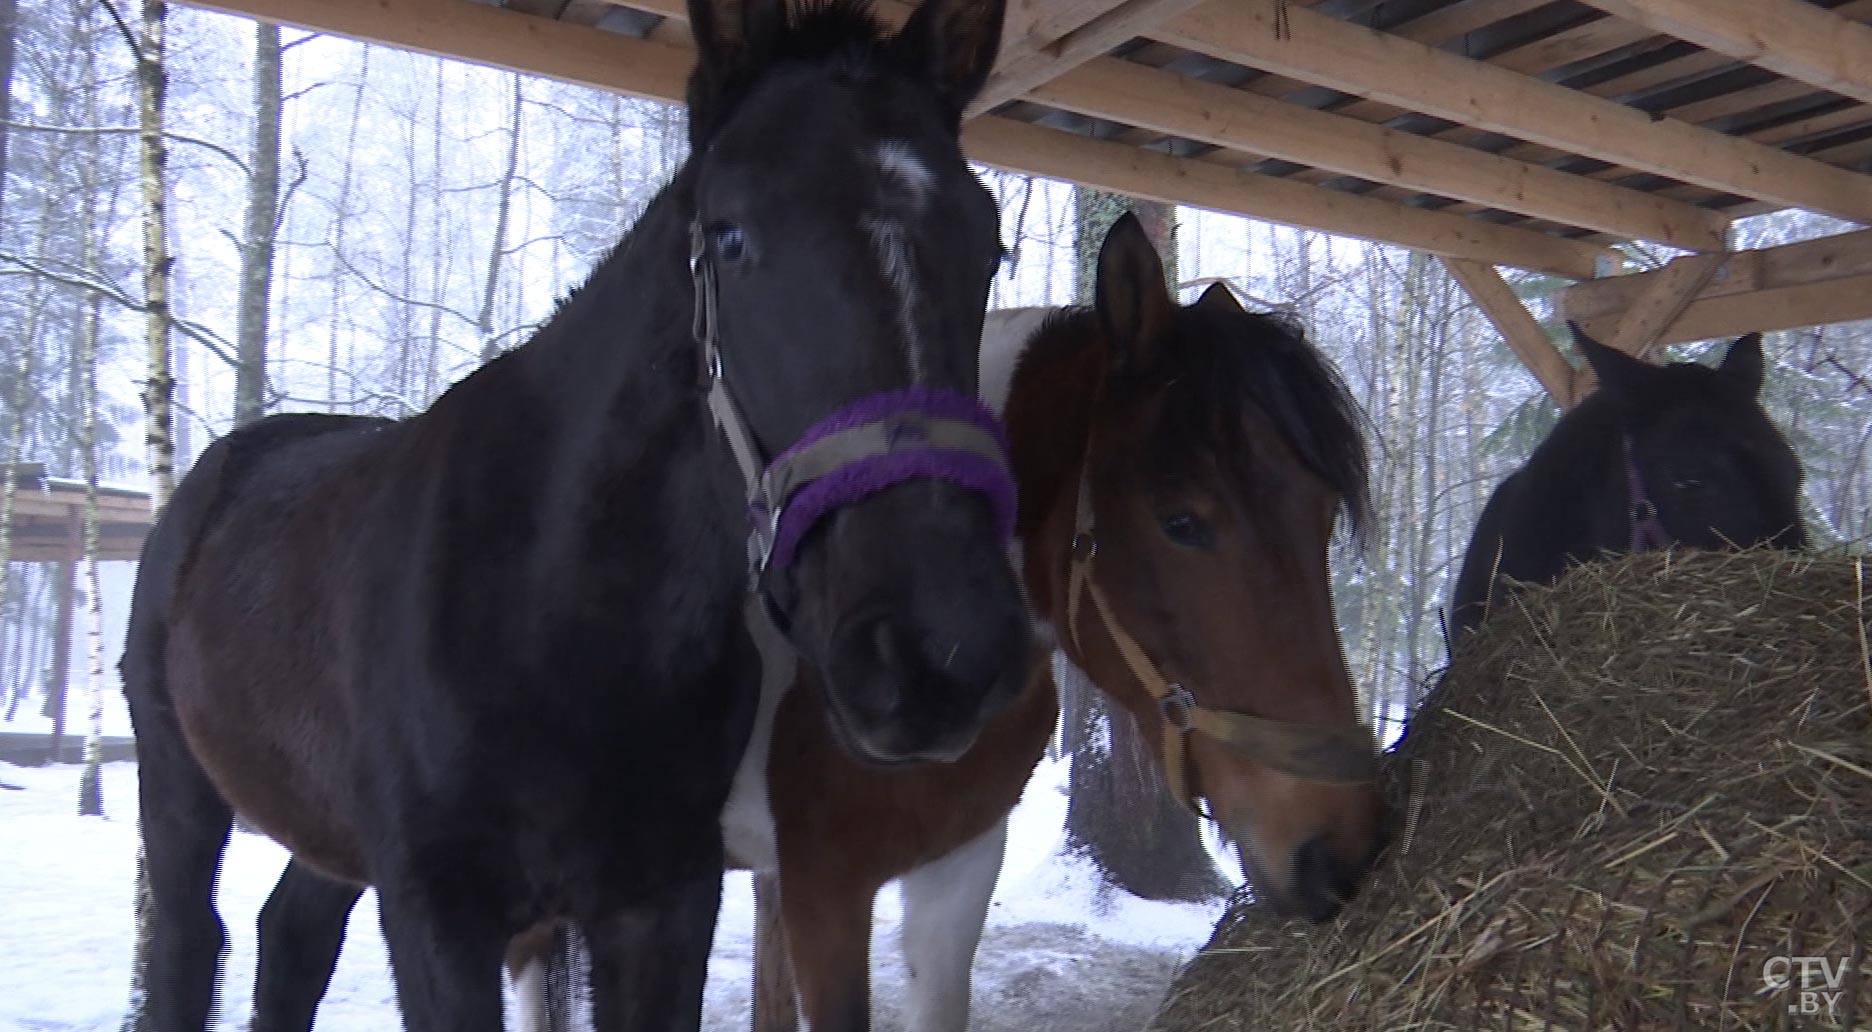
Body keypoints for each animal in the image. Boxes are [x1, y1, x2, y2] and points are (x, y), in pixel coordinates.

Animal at [118, 2, 1033, 1032]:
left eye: (989, 245)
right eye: (731, 238)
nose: (940, 651)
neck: (557, 609)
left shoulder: (665, 904)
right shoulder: (438, 916)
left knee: (291, 936)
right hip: (180, 790)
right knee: (190, 945)